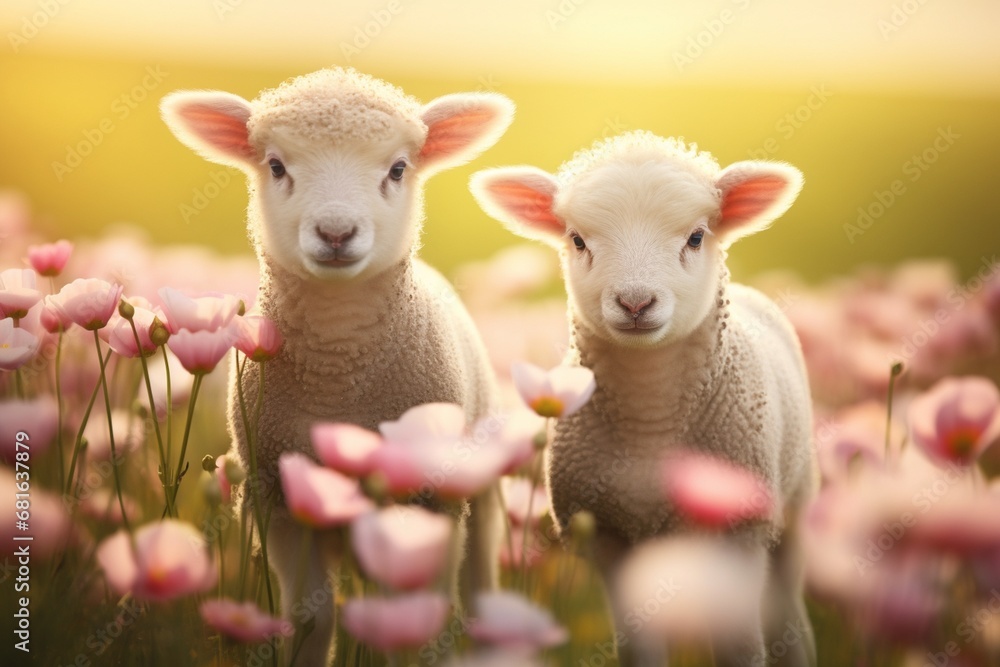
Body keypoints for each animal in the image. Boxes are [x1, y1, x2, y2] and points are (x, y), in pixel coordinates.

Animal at [160, 67, 514, 665]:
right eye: (277, 165)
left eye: (398, 169)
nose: (335, 233)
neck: (339, 375)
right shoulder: (278, 496)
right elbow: (311, 619)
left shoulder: (432, 500)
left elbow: (419, 613)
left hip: (480, 492)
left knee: (481, 587)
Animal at [470, 131, 817, 667]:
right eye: (577, 240)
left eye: (696, 237)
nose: (635, 302)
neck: (649, 416)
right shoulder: (610, 536)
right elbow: (638, 644)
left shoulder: (739, 531)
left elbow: (741, 646)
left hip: (792, 508)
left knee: (789, 613)